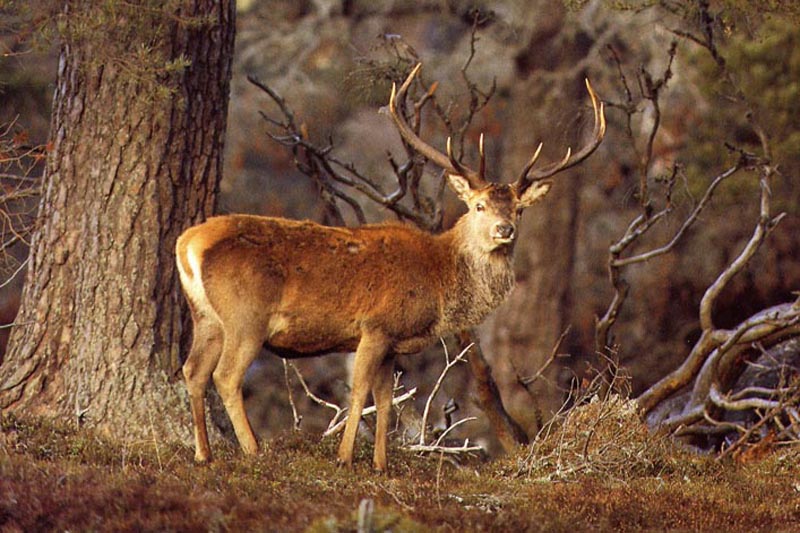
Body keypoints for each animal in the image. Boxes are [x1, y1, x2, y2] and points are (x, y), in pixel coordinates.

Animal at [177, 63, 608, 470]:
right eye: (479, 206)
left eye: (518, 208)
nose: (505, 229)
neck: (438, 277)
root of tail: (189, 243)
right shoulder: (376, 325)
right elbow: (359, 393)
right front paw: (345, 457)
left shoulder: (393, 341)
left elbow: (385, 399)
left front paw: (381, 464)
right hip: (246, 315)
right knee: (225, 376)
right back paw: (254, 451)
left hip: (206, 317)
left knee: (193, 370)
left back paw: (203, 454)